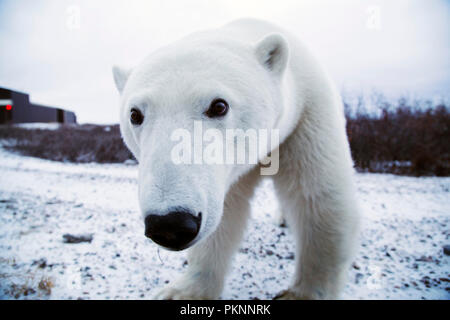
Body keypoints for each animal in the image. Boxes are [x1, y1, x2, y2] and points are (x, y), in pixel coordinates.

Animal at [112, 18, 358, 300]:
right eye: (135, 114)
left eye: (219, 105)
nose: (170, 224)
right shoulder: (220, 177)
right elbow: (224, 214)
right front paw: (184, 291)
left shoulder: (307, 116)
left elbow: (318, 199)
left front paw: (302, 293)